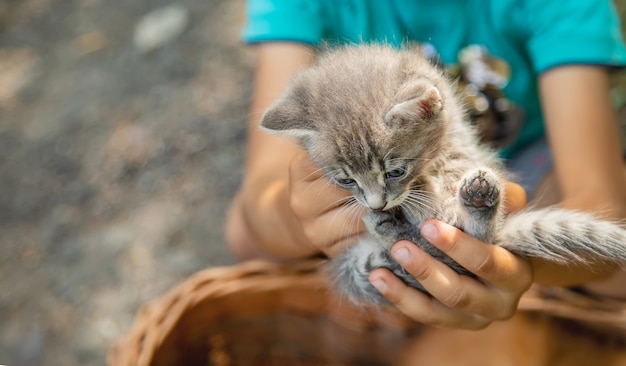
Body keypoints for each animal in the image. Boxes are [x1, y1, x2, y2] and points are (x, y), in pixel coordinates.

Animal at [258, 43, 624, 306]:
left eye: (395, 171)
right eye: (346, 180)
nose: (377, 204)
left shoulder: (459, 135)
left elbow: (451, 175)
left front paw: (432, 201)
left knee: (479, 239)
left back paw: (474, 203)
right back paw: (390, 226)